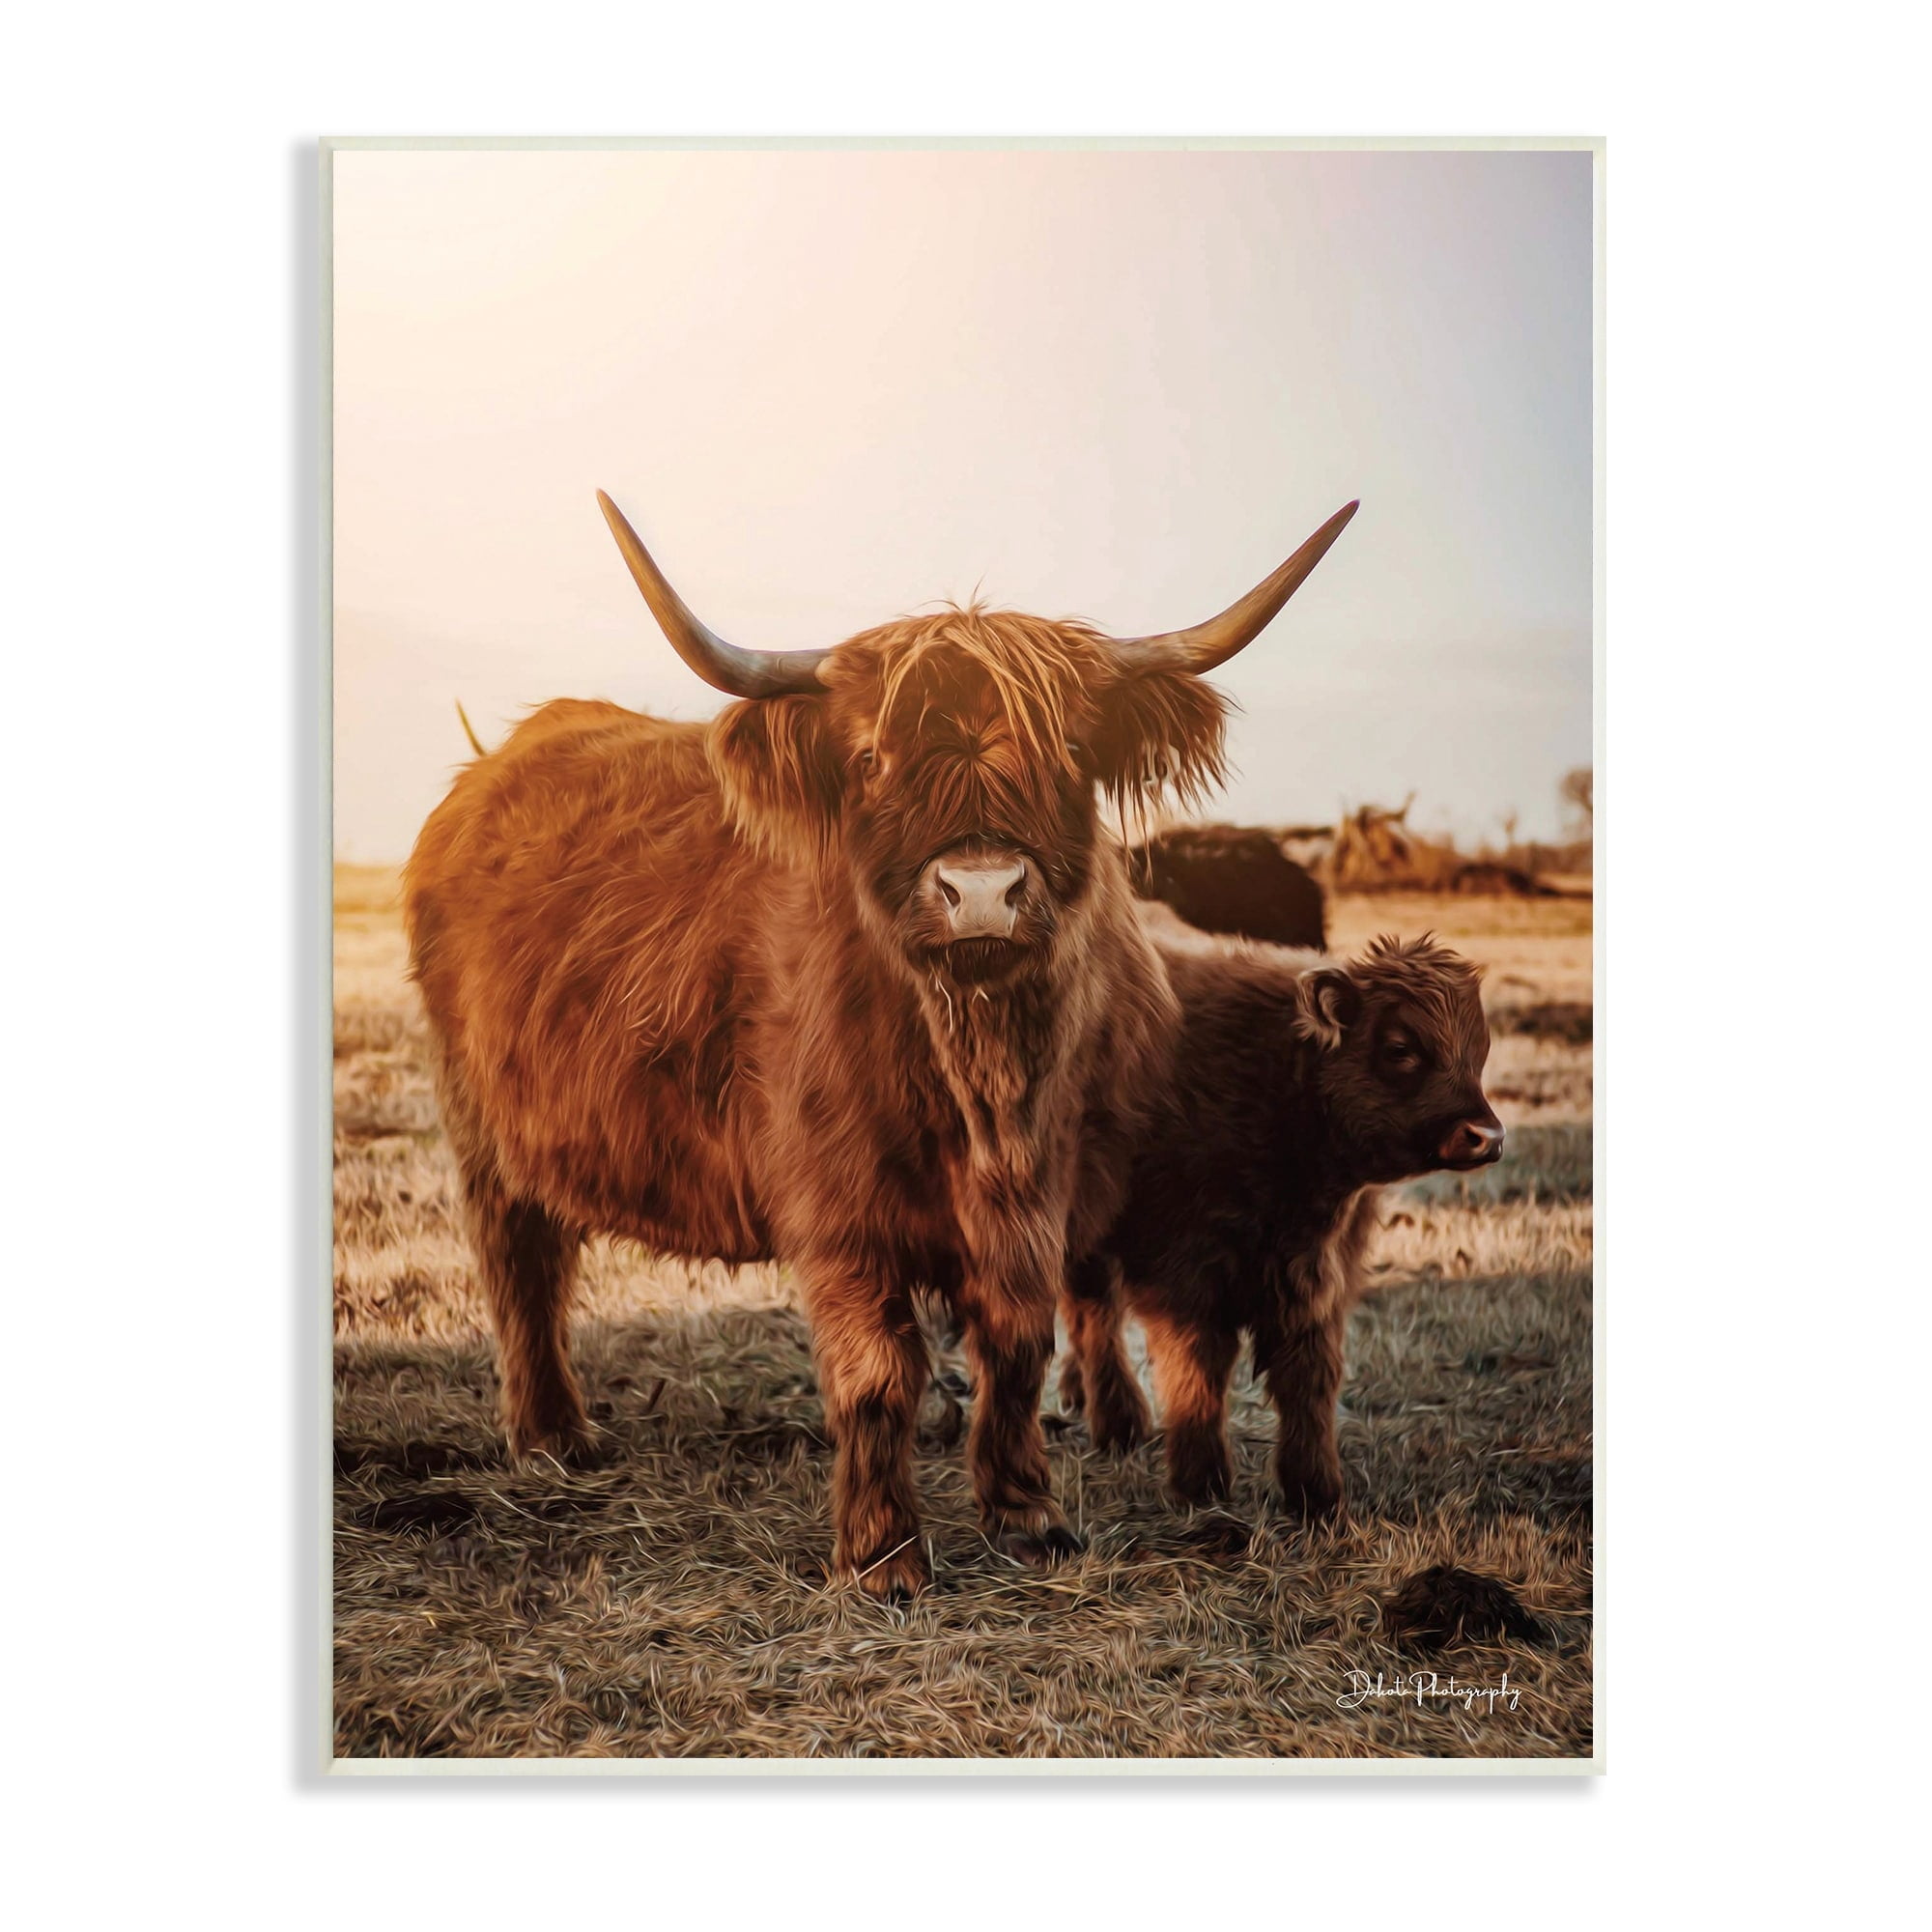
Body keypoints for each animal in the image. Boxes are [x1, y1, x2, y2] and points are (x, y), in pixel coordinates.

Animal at [1059, 928, 1501, 1521]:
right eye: (1401, 1048)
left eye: (1479, 1050)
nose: (1486, 1136)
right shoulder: (1184, 1275)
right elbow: (1197, 1369)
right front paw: (1201, 1484)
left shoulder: (1317, 1280)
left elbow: (1309, 1377)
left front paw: (1317, 1494)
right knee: (1095, 1315)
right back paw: (1119, 1423)